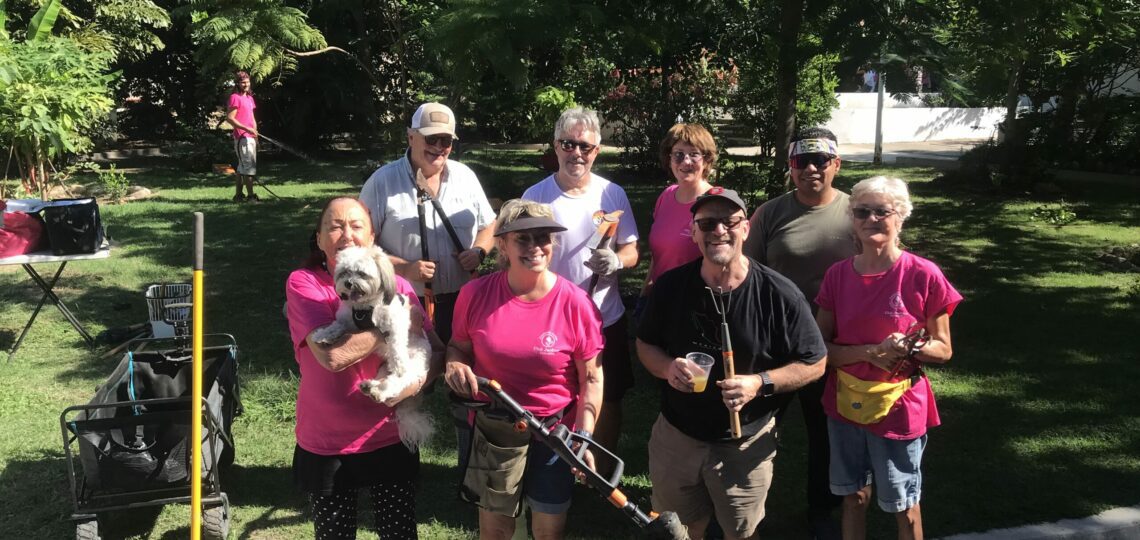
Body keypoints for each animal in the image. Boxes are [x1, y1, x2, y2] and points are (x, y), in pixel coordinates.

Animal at [310, 245, 434, 449]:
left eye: (362, 273)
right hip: (383, 368)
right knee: (385, 379)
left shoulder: (396, 323)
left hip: (415, 364)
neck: (365, 308)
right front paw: (323, 335)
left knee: (398, 381)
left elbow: (396, 344)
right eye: (344, 272)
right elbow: (337, 326)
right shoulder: (347, 320)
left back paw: (379, 390)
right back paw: (371, 387)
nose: (348, 283)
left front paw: (398, 362)